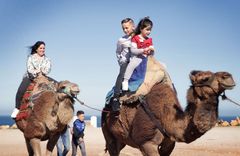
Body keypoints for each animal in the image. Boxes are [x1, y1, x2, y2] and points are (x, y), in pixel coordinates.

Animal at [102, 70, 235, 156]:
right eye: (205, 78)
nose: (228, 76)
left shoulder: (169, 144)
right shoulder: (147, 143)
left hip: (122, 139)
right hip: (107, 132)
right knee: (112, 147)